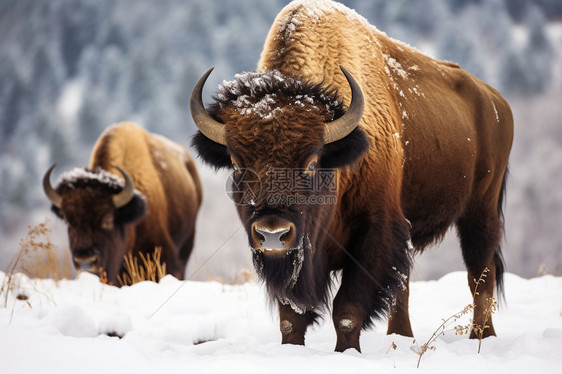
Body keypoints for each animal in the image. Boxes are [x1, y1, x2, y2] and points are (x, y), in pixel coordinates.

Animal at [189, 0, 512, 352]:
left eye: (313, 163)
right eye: (237, 164)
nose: (272, 233)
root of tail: (496, 101)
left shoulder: (374, 232)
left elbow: (347, 311)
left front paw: (347, 352)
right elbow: (291, 317)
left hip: (480, 212)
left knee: (479, 274)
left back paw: (481, 337)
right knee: (406, 285)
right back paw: (403, 336)